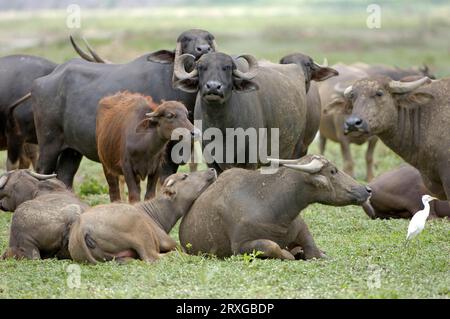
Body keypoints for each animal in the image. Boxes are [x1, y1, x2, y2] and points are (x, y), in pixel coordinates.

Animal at [31, 28, 216, 189]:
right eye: (185, 39)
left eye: (209, 38)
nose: (203, 49)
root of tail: (43, 80)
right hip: (49, 143)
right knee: (42, 171)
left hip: (72, 149)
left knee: (64, 176)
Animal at [69, 170, 217, 264]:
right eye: (184, 176)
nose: (211, 169)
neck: (153, 212)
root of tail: (81, 227)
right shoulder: (165, 239)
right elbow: (179, 247)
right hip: (141, 231)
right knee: (152, 257)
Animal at [173, 52, 338, 175]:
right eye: (201, 67)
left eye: (227, 67)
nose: (213, 87)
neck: (222, 127)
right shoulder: (211, 160)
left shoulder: (250, 159)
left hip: (297, 149)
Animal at [179, 154, 372, 262]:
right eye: (333, 171)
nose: (367, 189)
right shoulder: (240, 247)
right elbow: (271, 245)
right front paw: (288, 254)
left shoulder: (301, 229)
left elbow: (312, 249)